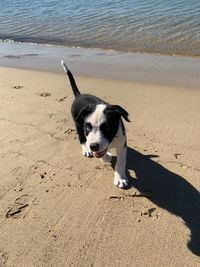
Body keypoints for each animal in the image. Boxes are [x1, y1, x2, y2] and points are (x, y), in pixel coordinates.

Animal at [61, 61, 130, 189]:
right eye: (88, 127)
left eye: (107, 127)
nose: (93, 146)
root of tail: (79, 95)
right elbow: (101, 154)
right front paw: (105, 157)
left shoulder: (122, 143)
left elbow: (121, 162)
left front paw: (120, 178)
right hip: (78, 125)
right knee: (82, 138)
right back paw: (86, 149)